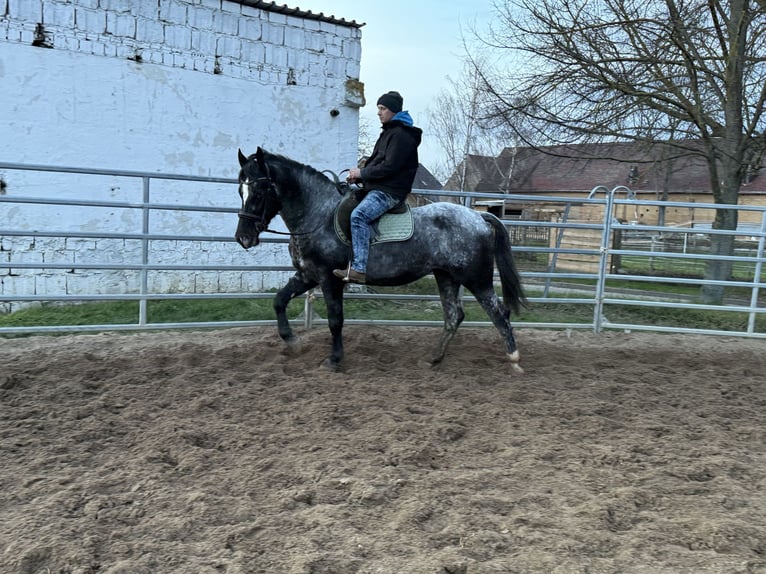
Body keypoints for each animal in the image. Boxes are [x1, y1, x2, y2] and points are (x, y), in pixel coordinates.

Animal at [237, 146, 532, 376]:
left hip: (476, 278)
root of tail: (478, 217)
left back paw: (515, 360)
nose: (243, 238)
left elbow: (335, 319)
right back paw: (433, 358)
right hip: (446, 276)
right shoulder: (308, 275)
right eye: (240, 190)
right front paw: (292, 341)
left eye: (260, 190)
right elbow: (279, 300)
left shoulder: (330, 279)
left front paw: (333, 360)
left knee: (499, 313)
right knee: (453, 316)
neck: (319, 215)